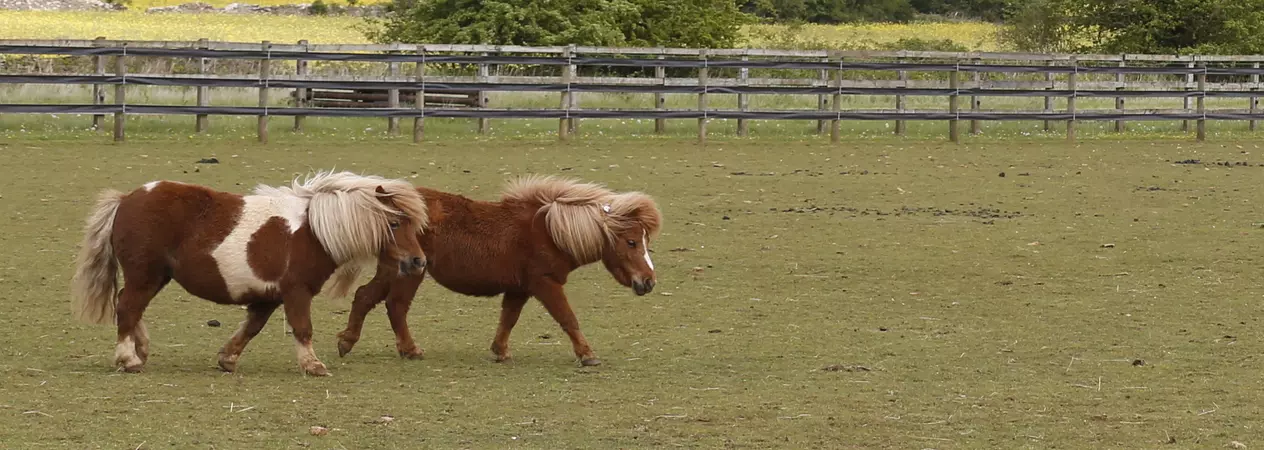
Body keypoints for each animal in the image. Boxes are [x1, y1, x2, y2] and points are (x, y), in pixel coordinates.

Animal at [69, 170, 430, 377]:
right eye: (394, 223)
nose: (418, 261)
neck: (314, 231)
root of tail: (126, 199)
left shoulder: (268, 297)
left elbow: (251, 328)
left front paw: (227, 359)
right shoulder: (297, 292)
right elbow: (303, 328)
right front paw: (313, 366)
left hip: (155, 277)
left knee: (129, 306)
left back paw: (140, 350)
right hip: (145, 275)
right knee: (127, 306)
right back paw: (128, 358)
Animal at [329, 174, 662, 367]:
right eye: (632, 242)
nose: (648, 281)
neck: (549, 230)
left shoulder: (519, 289)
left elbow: (508, 320)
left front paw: (500, 351)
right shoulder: (546, 284)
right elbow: (568, 318)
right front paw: (587, 354)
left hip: (392, 269)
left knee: (365, 297)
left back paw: (347, 341)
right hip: (409, 271)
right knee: (395, 306)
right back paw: (409, 349)